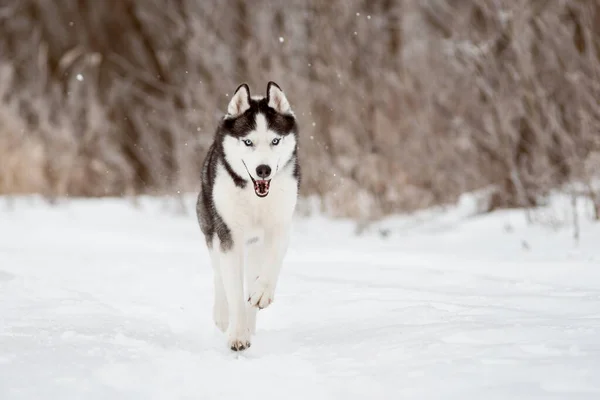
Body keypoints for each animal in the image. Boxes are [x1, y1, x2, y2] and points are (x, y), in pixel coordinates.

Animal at [197, 83, 300, 352]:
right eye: (248, 142)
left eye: (275, 140)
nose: (263, 170)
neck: (257, 198)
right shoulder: (228, 235)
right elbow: (232, 287)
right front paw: (237, 334)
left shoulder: (280, 226)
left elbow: (270, 265)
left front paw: (261, 294)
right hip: (210, 227)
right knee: (219, 274)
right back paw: (224, 316)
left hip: (254, 245)